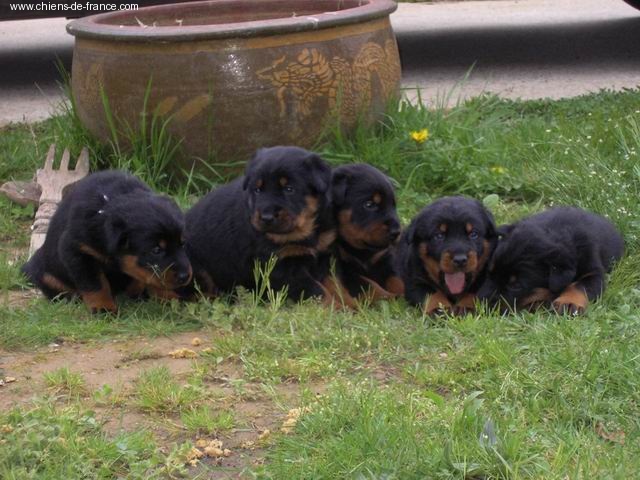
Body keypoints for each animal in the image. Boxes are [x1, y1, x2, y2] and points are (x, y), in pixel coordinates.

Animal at [22, 171, 192, 314]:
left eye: (182, 244)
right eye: (156, 250)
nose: (185, 276)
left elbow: (150, 277)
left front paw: (167, 296)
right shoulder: (78, 251)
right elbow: (96, 283)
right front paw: (103, 308)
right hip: (44, 273)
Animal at [182, 146, 336, 302]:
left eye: (289, 189)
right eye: (257, 190)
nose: (266, 218)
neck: (304, 230)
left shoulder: (325, 254)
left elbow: (334, 284)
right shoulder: (280, 266)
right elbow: (318, 291)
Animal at [332, 164, 402, 300]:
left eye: (393, 205)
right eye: (369, 204)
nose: (396, 232)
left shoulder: (385, 259)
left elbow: (397, 279)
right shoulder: (346, 269)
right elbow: (369, 285)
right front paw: (389, 298)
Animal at [478, 207, 624, 316]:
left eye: (516, 286)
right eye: (489, 273)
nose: (481, 304)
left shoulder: (593, 272)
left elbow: (580, 285)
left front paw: (569, 302)